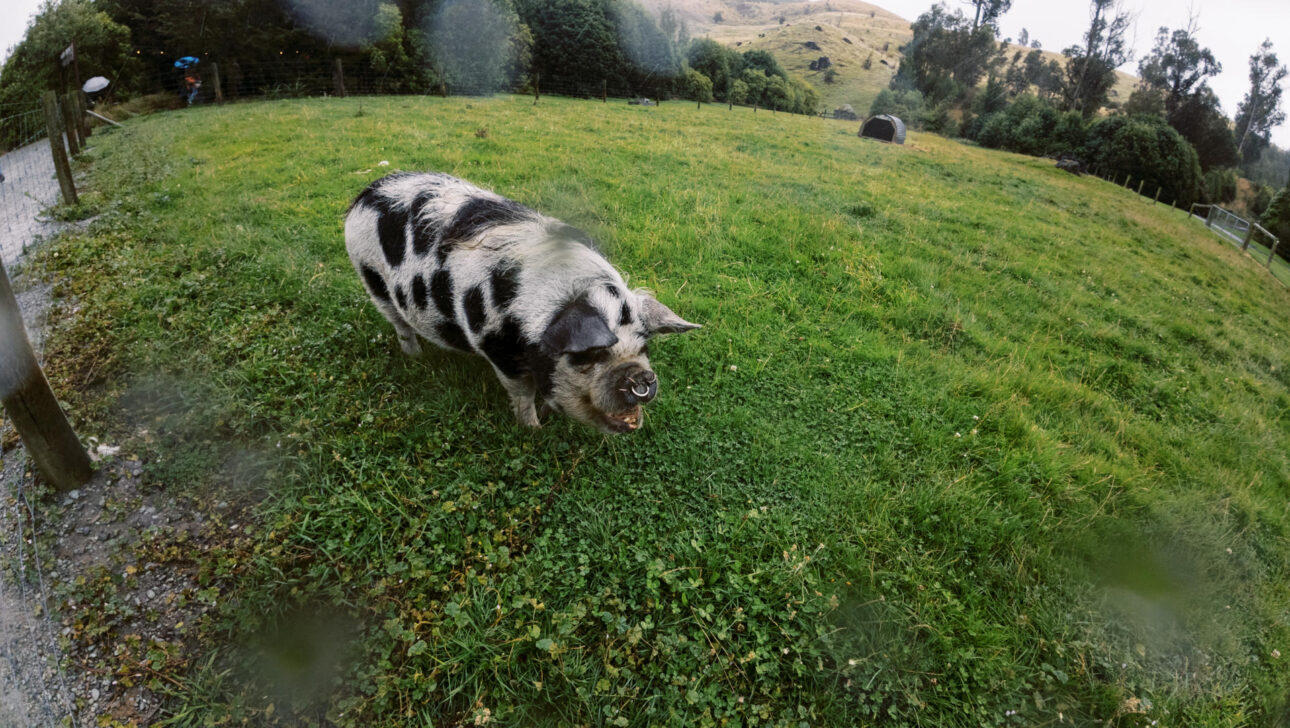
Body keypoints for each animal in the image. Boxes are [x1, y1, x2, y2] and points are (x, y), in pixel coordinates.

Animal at [345, 172, 700, 433]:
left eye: (644, 348)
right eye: (588, 356)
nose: (642, 378)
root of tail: (365, 192)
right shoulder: (497, 349)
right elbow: (522, 392)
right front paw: (533, 430)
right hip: (371, 279)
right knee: (400, 324)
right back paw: (414, 357)